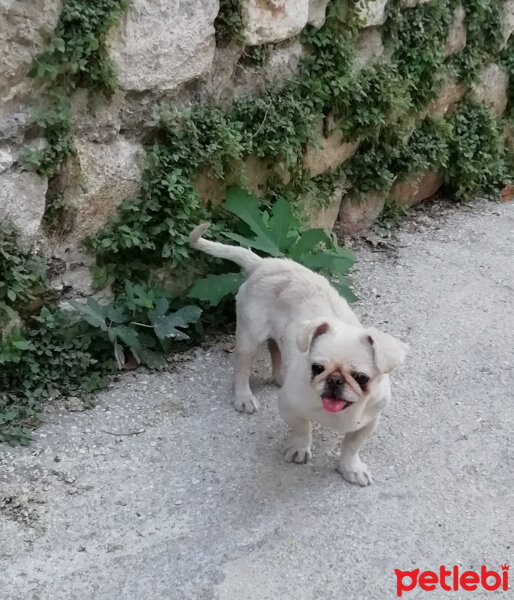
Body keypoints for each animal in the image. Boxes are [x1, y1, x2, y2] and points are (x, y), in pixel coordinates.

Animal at [188, 223, 404, 486]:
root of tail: (263, 263)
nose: (335, 380)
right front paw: (300, 449)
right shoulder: (290, 408)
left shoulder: (369, 422)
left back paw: (280, 376)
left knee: (275, 348)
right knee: (242, 366)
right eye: (317, 368)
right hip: (250, 336)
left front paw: (350, 467)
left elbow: (351, 446)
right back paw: (244, 397)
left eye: (361, 377)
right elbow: (303, 429)